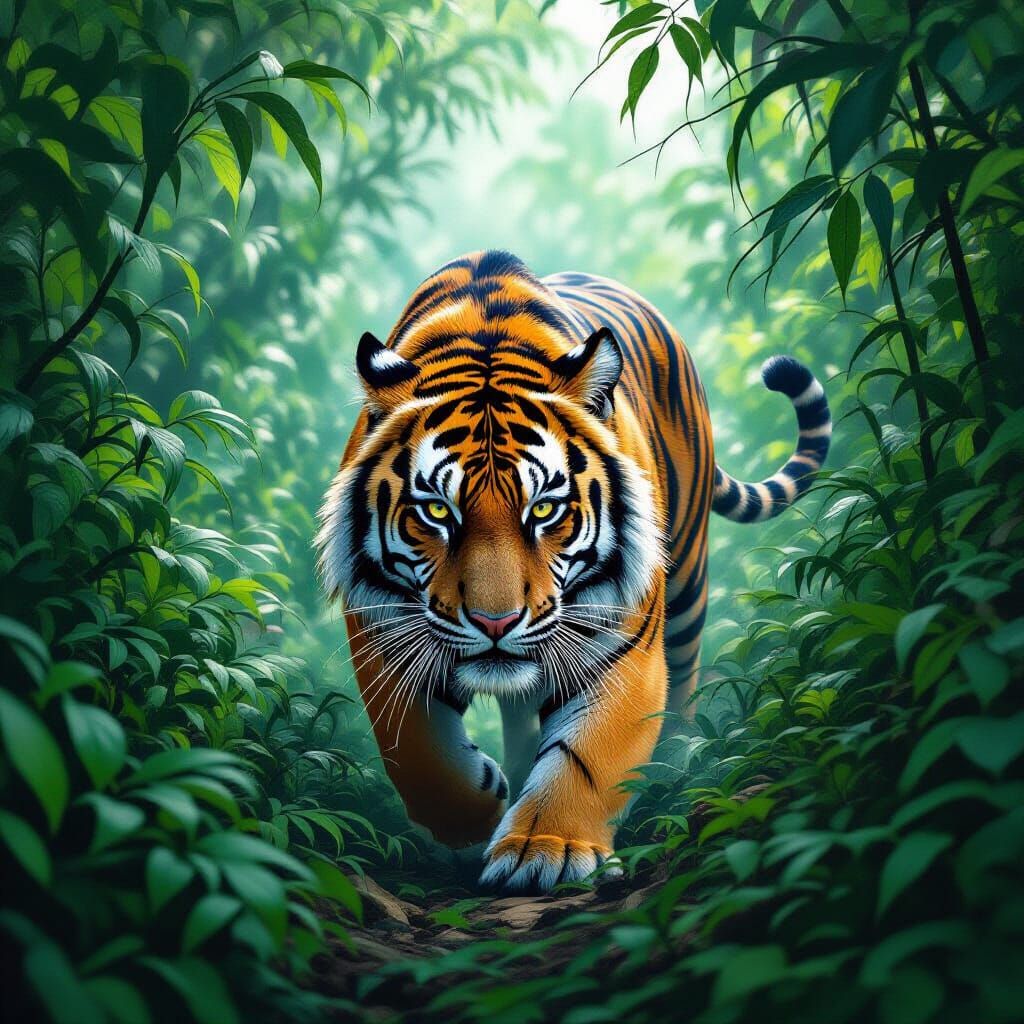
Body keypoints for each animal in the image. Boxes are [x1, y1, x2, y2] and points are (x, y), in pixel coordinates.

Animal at [316, 250, 831, 893]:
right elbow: (415, 749)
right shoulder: (383, 630)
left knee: (681, 693)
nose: (495, 623)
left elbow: (587, 756)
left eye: (544, 510)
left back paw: (669, 777)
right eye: (436, 511)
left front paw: (547, 851)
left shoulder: (621, 643)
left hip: (686, 588)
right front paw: (477, 813)